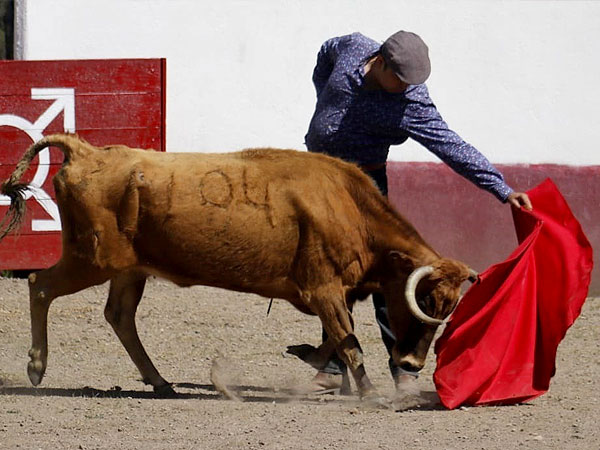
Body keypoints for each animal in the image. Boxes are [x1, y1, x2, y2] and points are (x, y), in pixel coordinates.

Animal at [2, 135, 476, 400]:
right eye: (424, 300)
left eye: (448, 307)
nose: (412, 363)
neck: (347, 205)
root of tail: (86, 152)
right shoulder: (323, 288)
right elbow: (349, 341)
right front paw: (373, 394)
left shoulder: (333, 293)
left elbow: (336, 340)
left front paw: (308, 358)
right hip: (91, 258)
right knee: (39, 284)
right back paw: (36, 368)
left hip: (129, 270)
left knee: (119, 316)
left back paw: (160, 383)